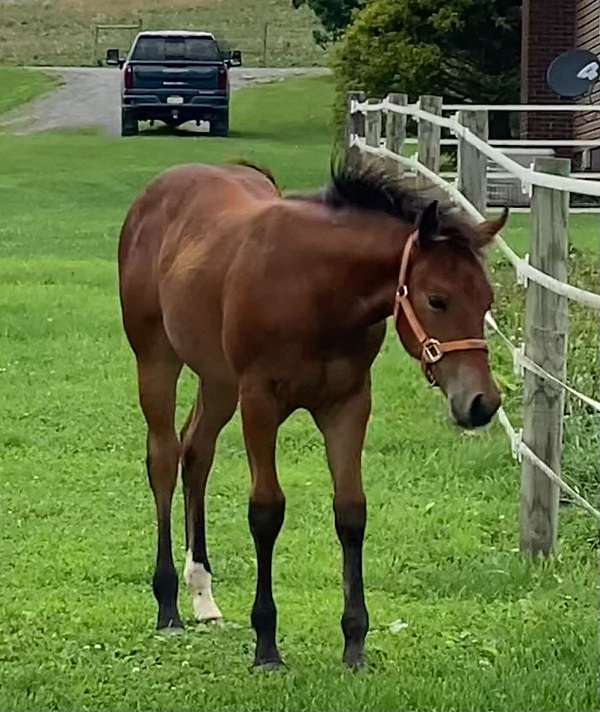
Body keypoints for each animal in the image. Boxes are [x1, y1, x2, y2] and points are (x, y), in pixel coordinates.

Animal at [117, 154, 506, 669]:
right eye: (437, 299)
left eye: (487, 300)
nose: (482, 404)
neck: (317, 290)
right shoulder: (260, 400)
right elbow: (266, 511)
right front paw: (266, 643)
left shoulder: (349, 403)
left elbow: (351, 512)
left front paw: (355, 641)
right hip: (156, 358)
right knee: (163, 457)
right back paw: (168, 606)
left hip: (218, 380)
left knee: (196, 453)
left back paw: (202, 595)